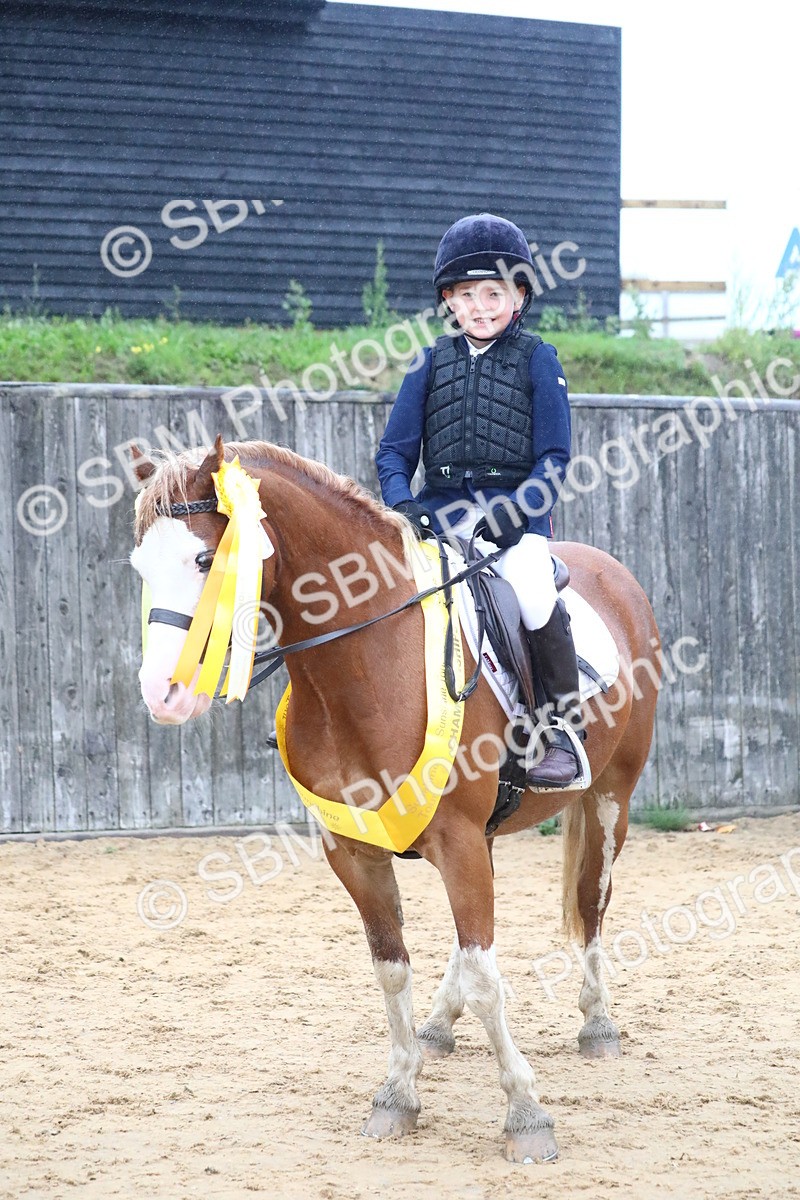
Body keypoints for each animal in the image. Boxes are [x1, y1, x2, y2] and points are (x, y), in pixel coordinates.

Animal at [130, 436, 660, 1164]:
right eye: (139, 564)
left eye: (207, 559)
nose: (164, 693)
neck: (364, 667)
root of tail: (612, 571)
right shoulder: (356, 852)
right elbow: (393, 970)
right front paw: (398, 1095)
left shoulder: (459, 840)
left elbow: (491, 979)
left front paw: (525, 1114)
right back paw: (440, 1023)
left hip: (610, 798)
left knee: (591, 903)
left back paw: (598, 1023)